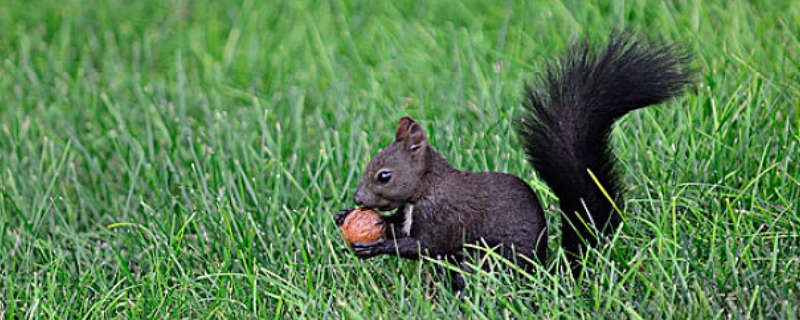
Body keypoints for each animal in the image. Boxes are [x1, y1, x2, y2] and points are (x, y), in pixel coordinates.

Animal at [336, 32, 692, 290]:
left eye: (384, 176)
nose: (358, 199)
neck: (425, 189)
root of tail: (543, 273)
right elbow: (397, 227)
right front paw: (346, 216)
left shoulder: (444, 218)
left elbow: (423, 246)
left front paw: (376, 247)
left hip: (485, 261)